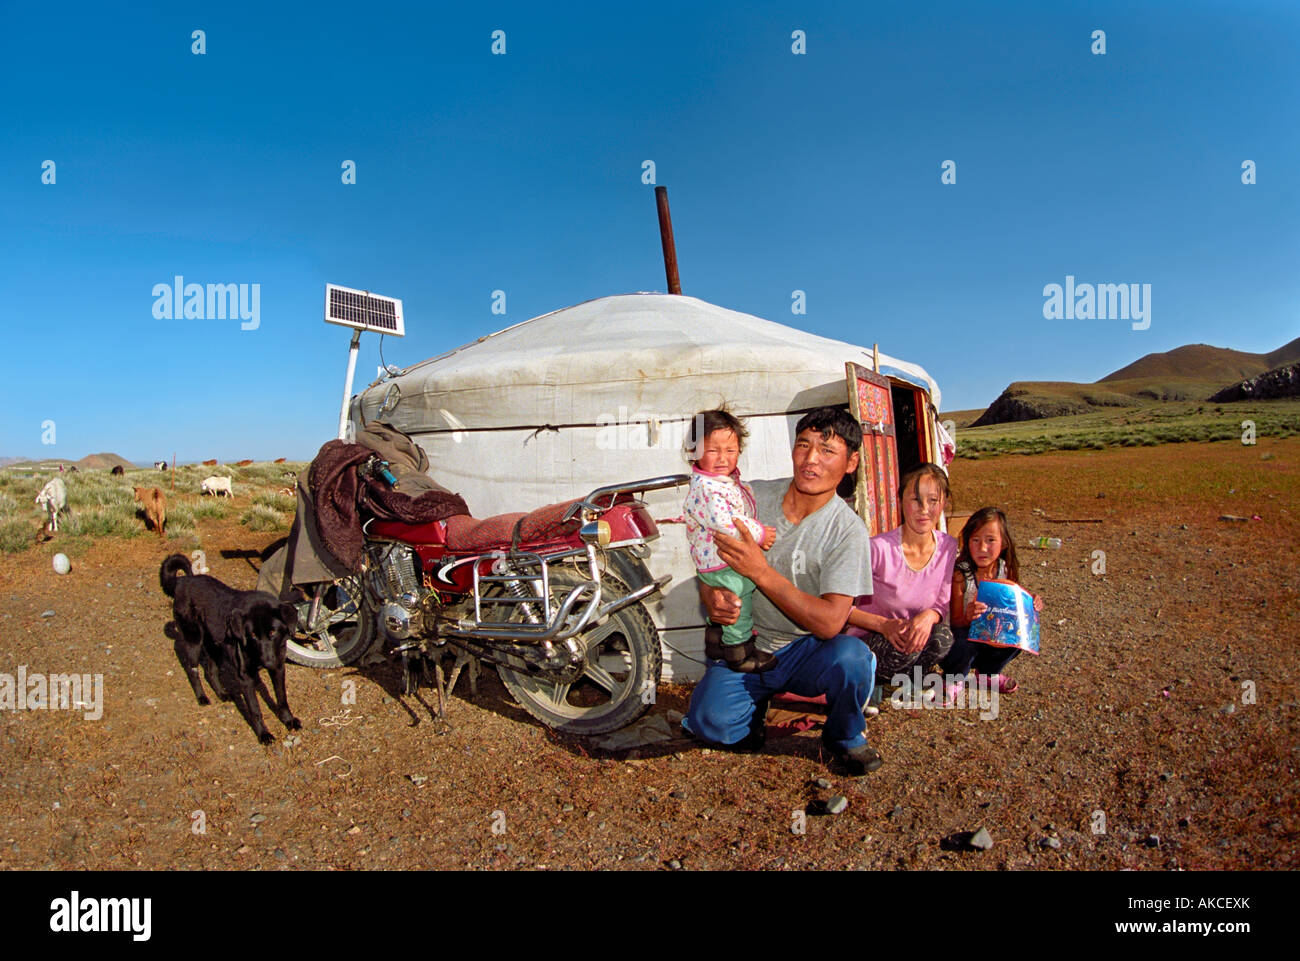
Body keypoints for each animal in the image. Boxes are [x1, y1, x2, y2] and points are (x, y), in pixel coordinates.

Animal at [158, 556, 300, 743]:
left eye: (272, 632)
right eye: (252, 635)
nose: (267, 662)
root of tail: (181, 581)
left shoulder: (278, 668)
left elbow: (282, 699)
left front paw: (289, 721)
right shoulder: (245, 677)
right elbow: (255, 710)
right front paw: (263, 734)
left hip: (215, 647)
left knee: (210, 671)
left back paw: (222, 694)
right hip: (194, 641)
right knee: (192, 669)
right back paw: (202, 697)